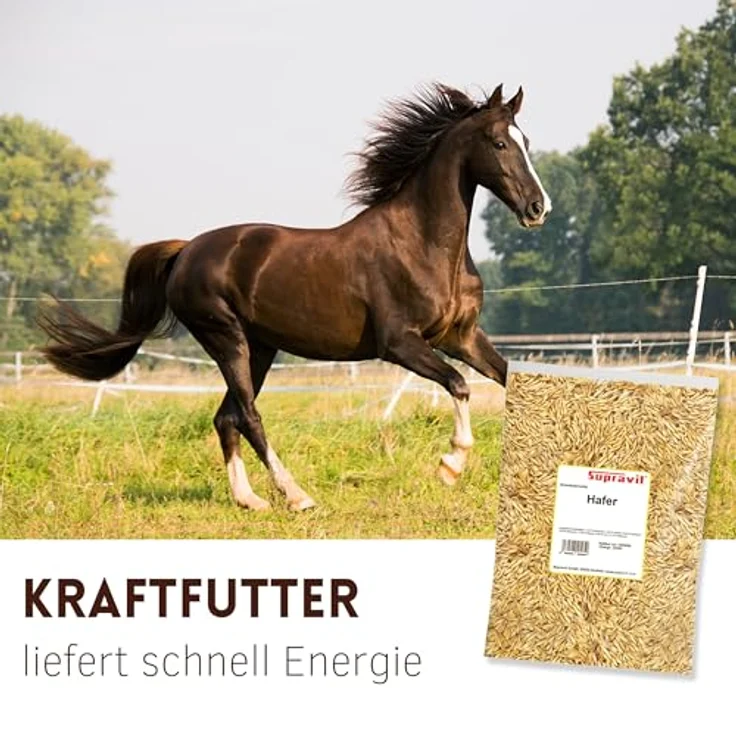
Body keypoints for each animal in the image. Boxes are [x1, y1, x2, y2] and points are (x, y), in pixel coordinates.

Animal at [39, 82, 551, 512]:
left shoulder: (460, 337)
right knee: (248, 415)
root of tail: (186, 251)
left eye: (526, 142)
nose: (537, 208)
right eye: (500, 143)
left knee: (226, 418)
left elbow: (512, 381)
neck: (422, 244)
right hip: (226, 338)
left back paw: (249, 500)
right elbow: (459, 384)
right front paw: (451, 465)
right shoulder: (400, 344)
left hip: (260, 348)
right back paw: (296, 496)